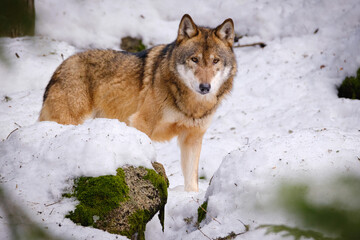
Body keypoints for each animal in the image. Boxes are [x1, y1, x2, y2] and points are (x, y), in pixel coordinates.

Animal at [38, 14, 236, 191]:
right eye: (194, 59)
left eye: (215, 61)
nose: (205, 87)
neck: (191, 104)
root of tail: (59, 67)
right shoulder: (142, 122)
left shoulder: (192, 137)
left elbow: (191, 181)